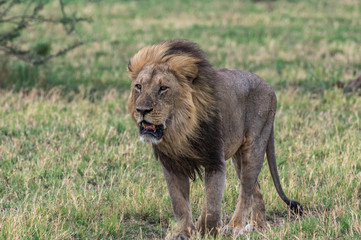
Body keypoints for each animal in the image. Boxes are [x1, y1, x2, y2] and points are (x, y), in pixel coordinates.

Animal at [126, 39, 300, 238]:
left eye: (163, 88)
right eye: (138, 87)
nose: (142, 110)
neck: (179, 130)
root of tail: (269, 86)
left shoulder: (214, 160)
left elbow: (211, 203)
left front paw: (206, 230)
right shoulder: (172, 164)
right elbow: (179, 203)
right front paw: (183, 232)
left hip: (254, 147)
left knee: (246, 190)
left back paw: (235, 226)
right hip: (238, 157)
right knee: (255, 190)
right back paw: (258, 226)